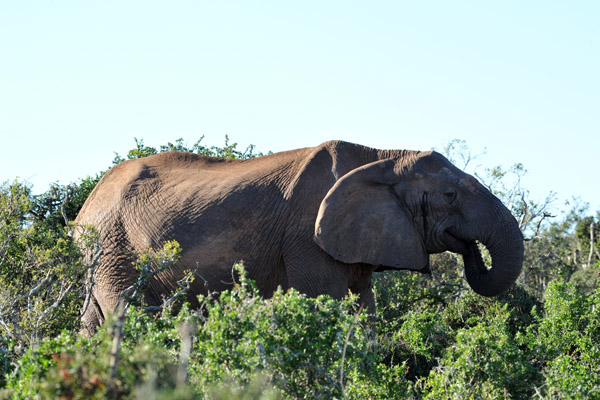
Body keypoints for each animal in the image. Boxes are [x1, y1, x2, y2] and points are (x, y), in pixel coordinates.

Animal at [75, 141, 524, 334]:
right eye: (449, 196)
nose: (470, 251)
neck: (385, 156)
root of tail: (86, 207)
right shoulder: (307, 238)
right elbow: (325, 304)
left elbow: (363, 309)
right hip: (114, 249)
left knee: (92, 324)